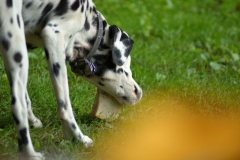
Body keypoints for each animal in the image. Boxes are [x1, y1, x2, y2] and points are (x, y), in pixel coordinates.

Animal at [0, 0, 142, 159]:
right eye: (127, 62)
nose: (139, 93)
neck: (86, 18)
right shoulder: (54, 37)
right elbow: (65, 107)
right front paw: (80, 138)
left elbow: (27, 99)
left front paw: (35, 121)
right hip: (17, 45)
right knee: (18, 106)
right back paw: (30, 153)